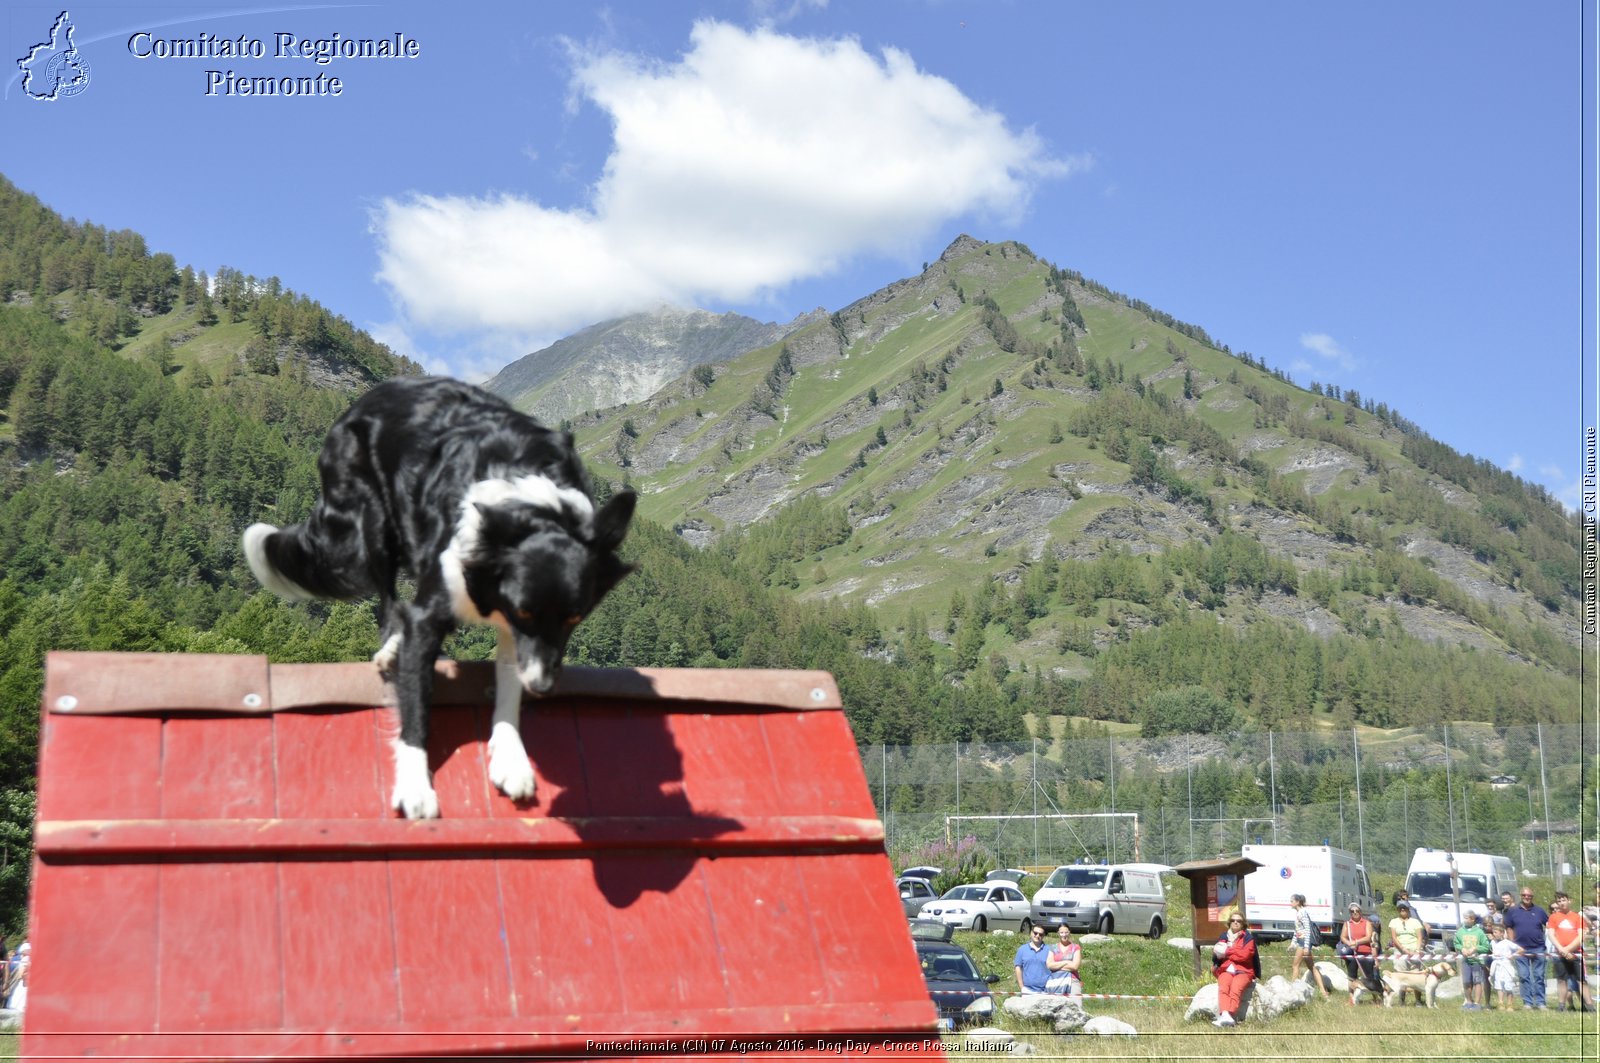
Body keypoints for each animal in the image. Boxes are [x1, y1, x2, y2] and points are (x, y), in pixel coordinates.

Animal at [243, 377, 630, 816]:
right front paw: (416, 787)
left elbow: (509, 682)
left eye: (575, 618)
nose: (543, 686)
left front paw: (511, 757)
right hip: (375, 521)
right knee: (387, 597)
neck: (530, 509)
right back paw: (391, 646)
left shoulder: (517, 632)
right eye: (524, 612)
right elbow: (416, 702)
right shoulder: (436, 612)